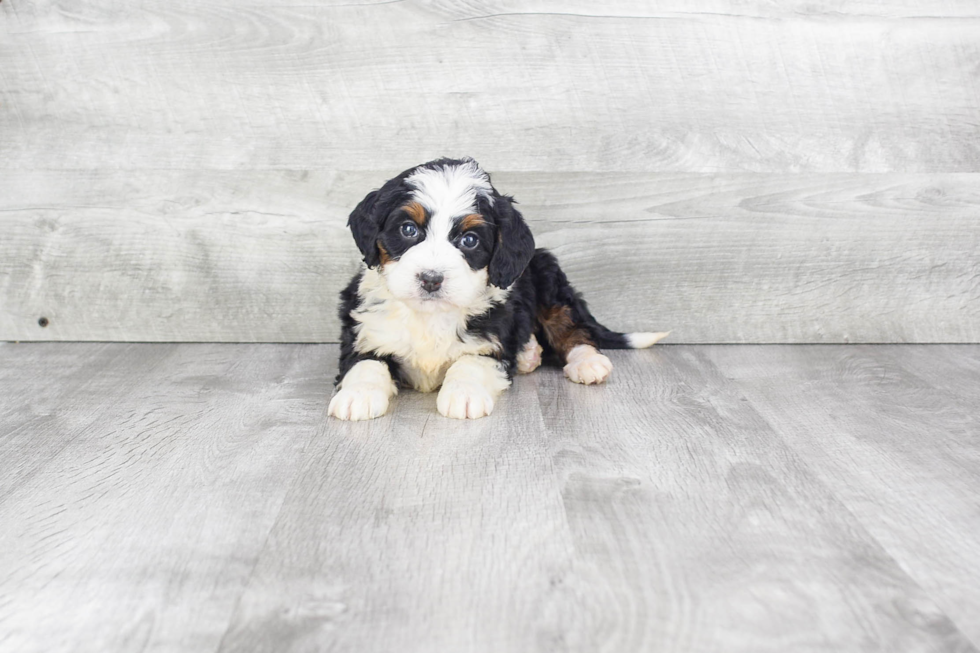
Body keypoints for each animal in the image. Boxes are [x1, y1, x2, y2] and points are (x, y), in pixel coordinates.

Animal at [330, 159, 668, 422]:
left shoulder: (492, 338)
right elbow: (366, 363)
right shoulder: (363, 331)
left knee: (571, 326)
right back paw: (529, 354)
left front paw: (463, 395)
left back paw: (586, 362)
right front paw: (357, 396)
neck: (431, 316)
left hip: (548, 278)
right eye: (408, 229)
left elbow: (470, 361)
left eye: (469, 240)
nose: (431, 279)